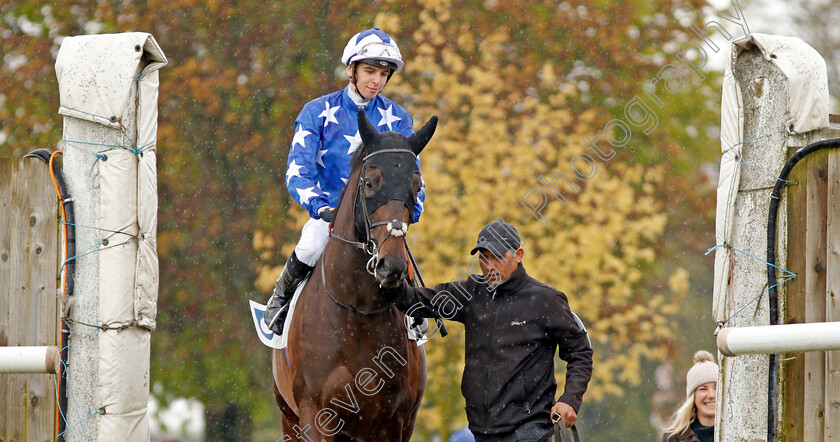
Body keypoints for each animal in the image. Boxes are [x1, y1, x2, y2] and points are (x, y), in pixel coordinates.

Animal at [272, 109, 440, 440]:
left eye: (416, 186)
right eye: (371, 183)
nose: (392, 265)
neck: (357, 309)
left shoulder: (392, 422)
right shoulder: (315, 415)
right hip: (288, 418)